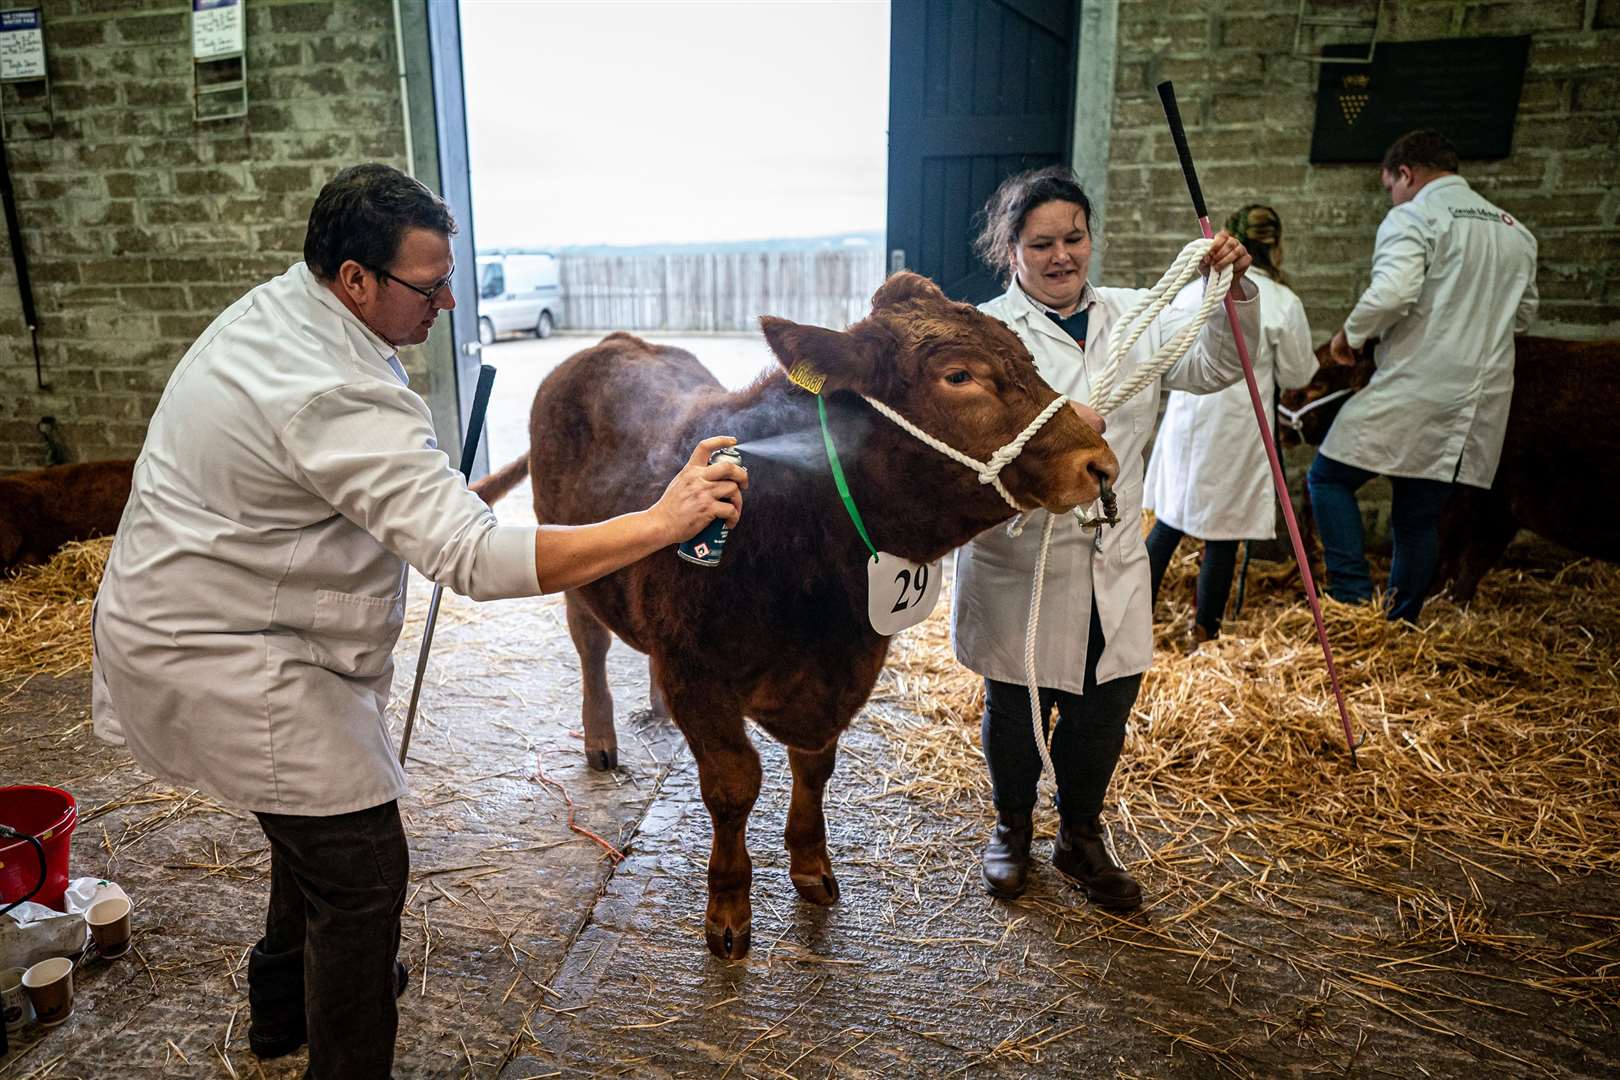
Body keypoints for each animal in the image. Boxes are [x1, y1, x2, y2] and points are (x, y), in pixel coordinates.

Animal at [473, 275, 1121, 958]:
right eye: (959, 375)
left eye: (1026, 356)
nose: (1099, 460)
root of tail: (614, 341)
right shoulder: (697, 673)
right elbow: (734, 783)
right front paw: (728, 909)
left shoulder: (841, 671)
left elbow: (814, 766)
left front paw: (812, 865)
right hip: (573, 559)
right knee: (590, 644)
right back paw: (600, 738)